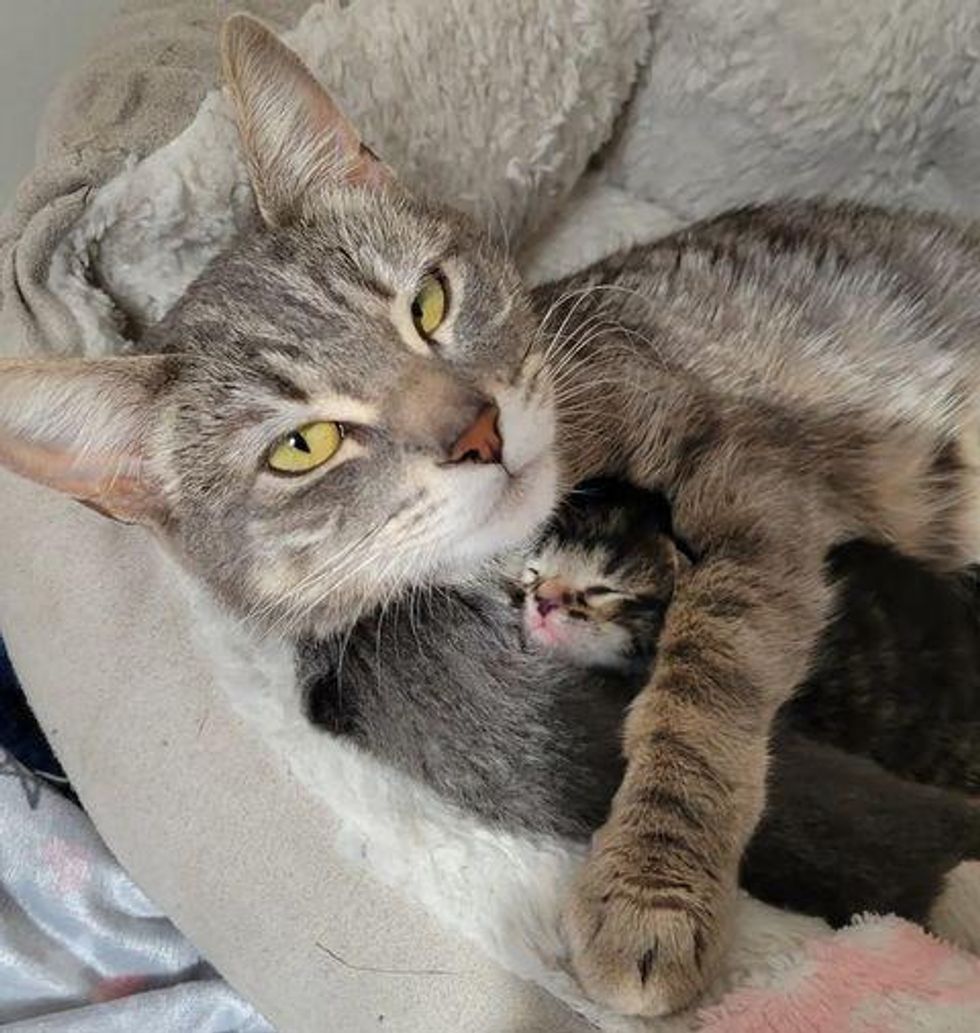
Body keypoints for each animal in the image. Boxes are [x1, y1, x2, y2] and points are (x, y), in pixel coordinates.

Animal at [1, 14, 978, 1016]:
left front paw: (652, 882)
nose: (476, 429)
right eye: (302, 446)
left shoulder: (741, 473)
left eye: (429, 301)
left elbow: (706, 674)